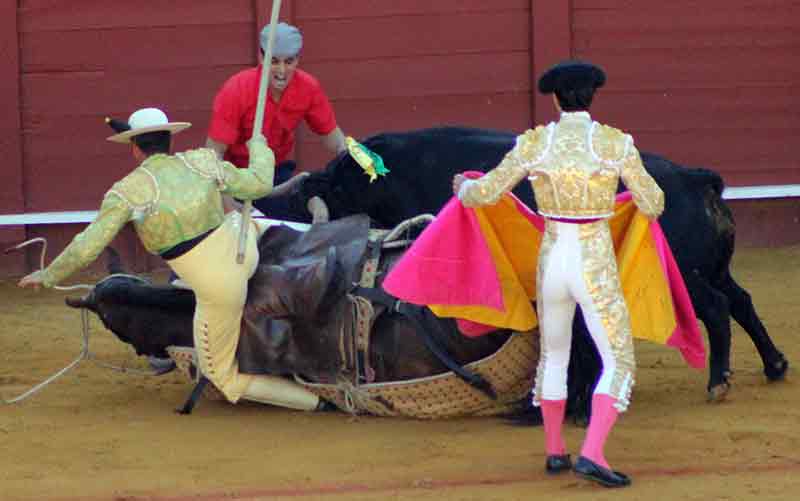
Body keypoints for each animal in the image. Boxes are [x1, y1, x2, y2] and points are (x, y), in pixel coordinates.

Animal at [260, 124, 784, 406]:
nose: (268, 205)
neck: (378, 181)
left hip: (685, 277)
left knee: (716, 308)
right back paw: (775, 365)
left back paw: (719, 381)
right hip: (716, 267)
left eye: (316, 195)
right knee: (742, 300)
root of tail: (696, 179)